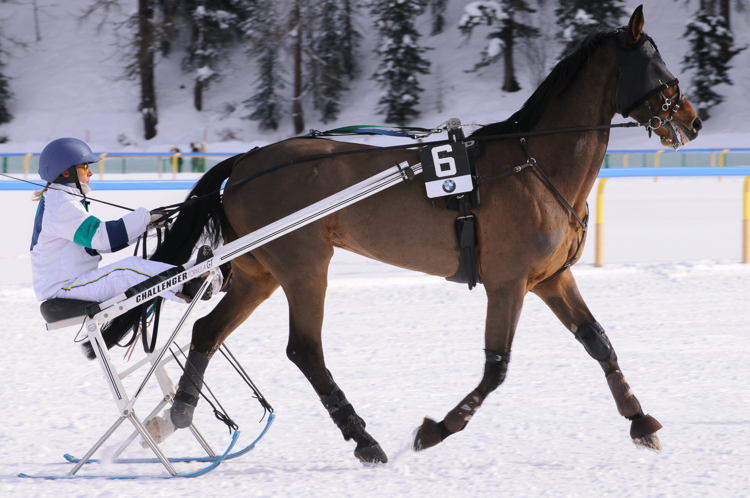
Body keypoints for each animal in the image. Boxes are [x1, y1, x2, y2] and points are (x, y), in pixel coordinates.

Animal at [117, 5, 704, 462]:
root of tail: (244, 163)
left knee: (206, 331)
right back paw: (364, 439)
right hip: (305, 268)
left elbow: (599, 343)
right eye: (657, 65)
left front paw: (640, 421)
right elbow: (496, 369)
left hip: (259, 273)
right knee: (305, 350)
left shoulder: (550, 279)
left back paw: (177, 414)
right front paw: (435, 430)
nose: (692, 121)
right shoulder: (508, 283)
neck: (534, 164)